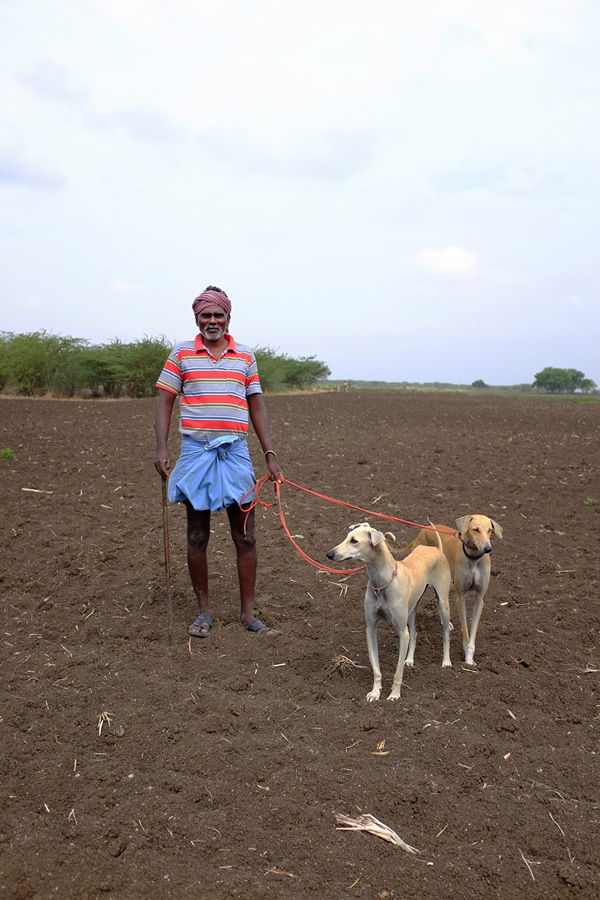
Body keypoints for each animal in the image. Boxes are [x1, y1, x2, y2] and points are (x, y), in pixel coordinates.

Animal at [328, 520, 450, 704]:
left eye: (354, 541)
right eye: (346, 537)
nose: (329, 554)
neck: (382, 583)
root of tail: (436, 549)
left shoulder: (402, 632)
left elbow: (398, 672)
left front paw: (394, 694)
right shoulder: (371, 628)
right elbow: (376, 668)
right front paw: (375, 693)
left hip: (442, 602)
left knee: (445, 633)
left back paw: (446, 661)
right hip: (412, 608)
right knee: (414, 633)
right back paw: (409, 660)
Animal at [398, 512, 502, 668]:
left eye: (490, 530)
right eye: (476, 529)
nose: (487, 548)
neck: (474, 559)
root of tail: (423, 531)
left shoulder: (479, 598)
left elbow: (472, 632)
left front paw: (470, 658)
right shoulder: (461, 597)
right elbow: (465, 631)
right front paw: (466, 657)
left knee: (438, 600)